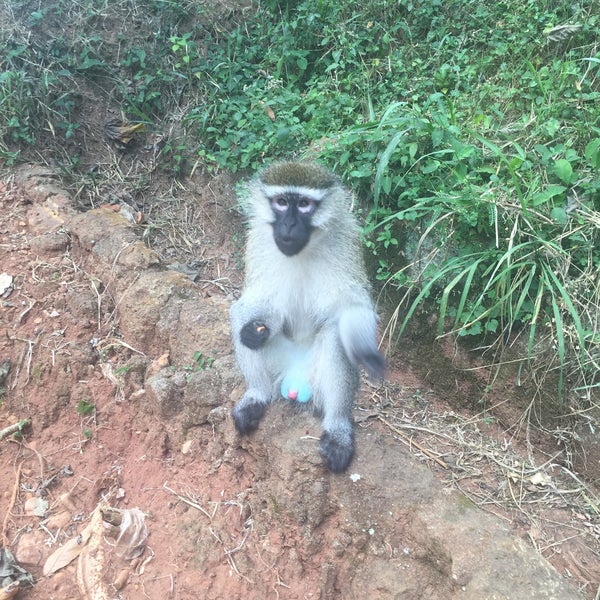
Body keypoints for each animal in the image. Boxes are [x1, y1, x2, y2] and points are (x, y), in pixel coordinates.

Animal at [230, 160, 385, 473]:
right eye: (280, 202)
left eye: (303, 205)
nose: (289, 224)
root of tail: (296, 379)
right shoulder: (258, 239)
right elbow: (256, 301)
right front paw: (254, 329)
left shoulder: (345, 240)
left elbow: (350, 306)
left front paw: (365, 350)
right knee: (239, 316)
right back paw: (256, 397)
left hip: (317, 376)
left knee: (336, 335)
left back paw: (337, 430)